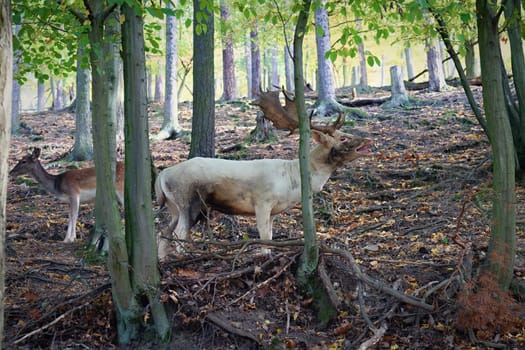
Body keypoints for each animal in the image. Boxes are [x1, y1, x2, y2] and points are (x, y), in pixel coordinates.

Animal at [156, 120, 372, 258]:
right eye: (343, 138)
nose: (368, 140)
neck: (291, 180)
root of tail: (162, 176)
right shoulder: (262, 201)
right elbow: (262, 233)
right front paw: (264, 255)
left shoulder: (274, 210)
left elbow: (270, 234)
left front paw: (268, 253)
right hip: (187, 200)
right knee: (179, 233)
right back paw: (184, 257)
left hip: (173, 207)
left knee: (164, 233)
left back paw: (162, 260)